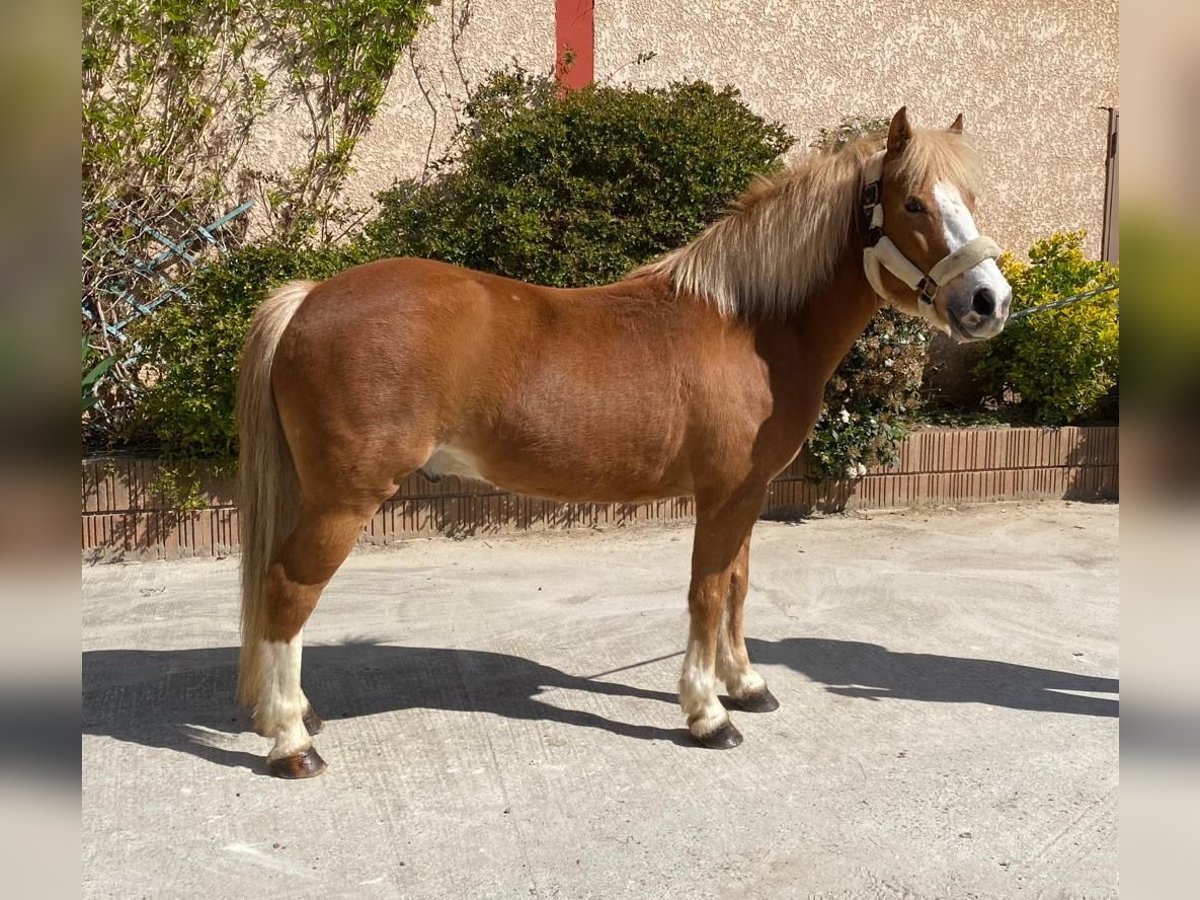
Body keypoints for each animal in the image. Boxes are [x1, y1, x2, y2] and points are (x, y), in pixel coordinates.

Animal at [236, 109, 1012, 777]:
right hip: (344, 501)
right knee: (287, 591)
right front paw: (707, 714)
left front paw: (746, 684)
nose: (989, 302)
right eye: (913, 204)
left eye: (970, 196)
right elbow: (706, 592)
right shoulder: (723, 495)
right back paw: (291, 741)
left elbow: (736, 585)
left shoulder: (748, 494)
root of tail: (309, 298)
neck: (751, 328)